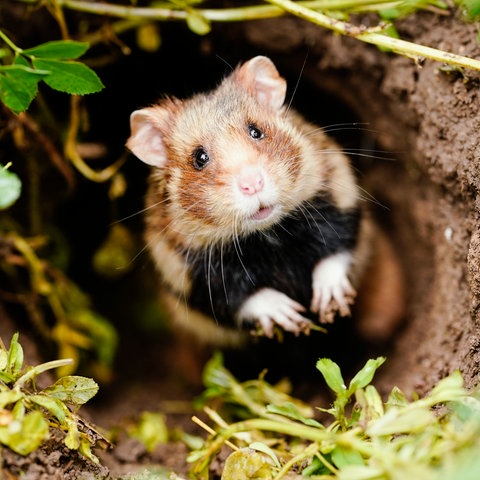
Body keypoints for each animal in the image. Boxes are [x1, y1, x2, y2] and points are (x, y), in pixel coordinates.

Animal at [127, 56, 404, 346]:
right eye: (199, 158)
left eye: (256, 131)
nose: (253, 184)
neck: (268, 236)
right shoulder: (186, 270)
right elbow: (238, 298)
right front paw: (290, 315)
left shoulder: (339, 190)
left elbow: (336, 246)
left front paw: (326, 301)